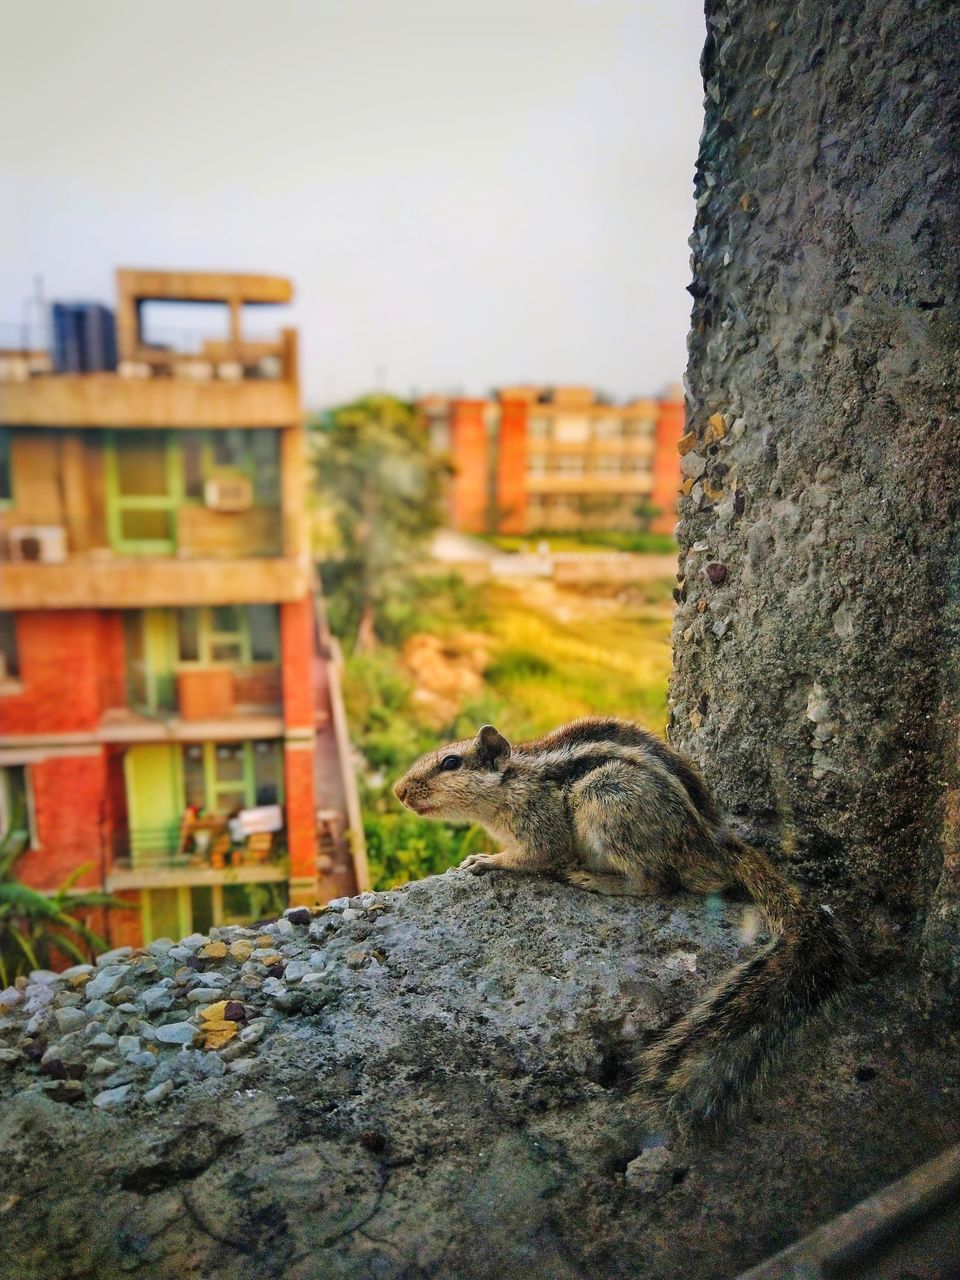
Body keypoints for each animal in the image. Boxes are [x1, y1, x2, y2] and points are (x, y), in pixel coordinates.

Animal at [391, 716, 855, 1126]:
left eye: (451, 762)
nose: (399, 791)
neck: (515, 781)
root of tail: (715, 847)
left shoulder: (542, 828)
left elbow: (535, 857)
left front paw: (486, 860)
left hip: (607, 800)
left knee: (653, 881)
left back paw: (593, 879)